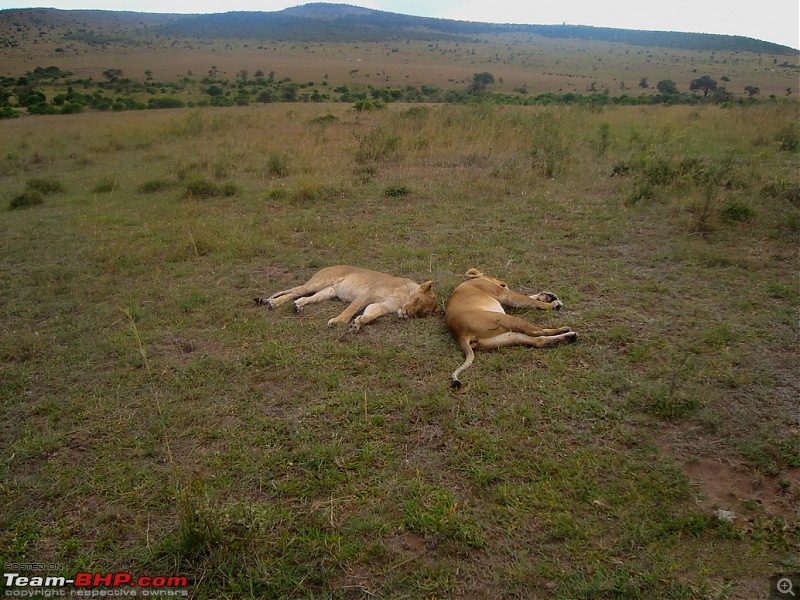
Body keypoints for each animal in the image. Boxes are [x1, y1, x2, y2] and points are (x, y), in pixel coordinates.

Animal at [256, 264, 440, 330]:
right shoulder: (367, 294)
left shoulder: (383, 305)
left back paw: (298, 306)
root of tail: (330, 266)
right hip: (316, 283)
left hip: (328, 292)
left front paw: (358, 323)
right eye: (417, 300)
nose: (407, 313)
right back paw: (273, 302)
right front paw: (338, 322)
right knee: (294, 292)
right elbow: (351, 309)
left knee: (306, 298)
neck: (403, 298)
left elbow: (371, 314)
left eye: (420, 313)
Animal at [444, 268, 576, 390]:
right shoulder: (503, 294)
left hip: (508, 336)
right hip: (508, 319)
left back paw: (569, 337)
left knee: (539, 340)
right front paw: (552, 304)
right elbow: (526, 299)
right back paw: (565, 330)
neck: (470, 281)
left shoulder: (505, 303)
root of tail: (460, 335)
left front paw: (547, 296)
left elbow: (528, 298)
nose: (504, 282)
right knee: (537, 331)